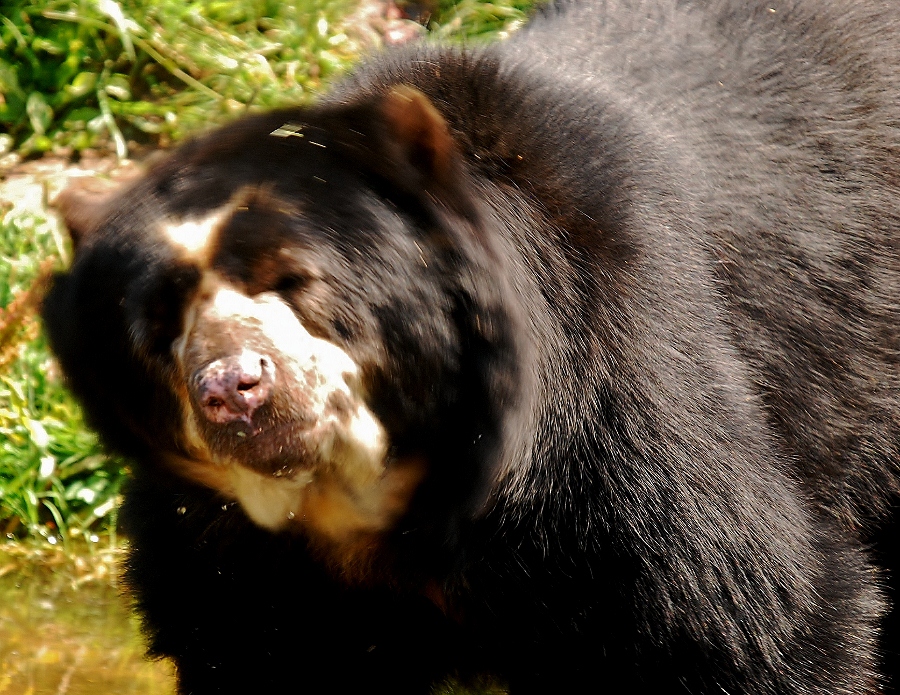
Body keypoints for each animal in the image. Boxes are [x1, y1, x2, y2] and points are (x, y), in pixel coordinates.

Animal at [42, 0, 900, 693]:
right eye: (161, 324)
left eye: (298, 280)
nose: (235, 389)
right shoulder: (236, 560)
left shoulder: (623, 439)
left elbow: (751, 622)